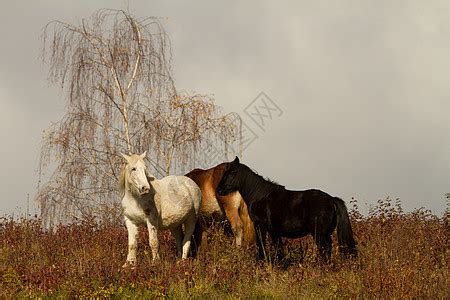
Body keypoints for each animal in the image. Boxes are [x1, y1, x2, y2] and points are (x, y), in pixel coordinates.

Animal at [216, 158, 356, 262]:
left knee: (324, 249)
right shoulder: (274, 231)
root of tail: (332, 199)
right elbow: (279, 250)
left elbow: (261, 246)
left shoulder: (260, 226)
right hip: (325, 234)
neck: (260, 195)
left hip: (319, 234)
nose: (219, 190)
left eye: (232, 172)